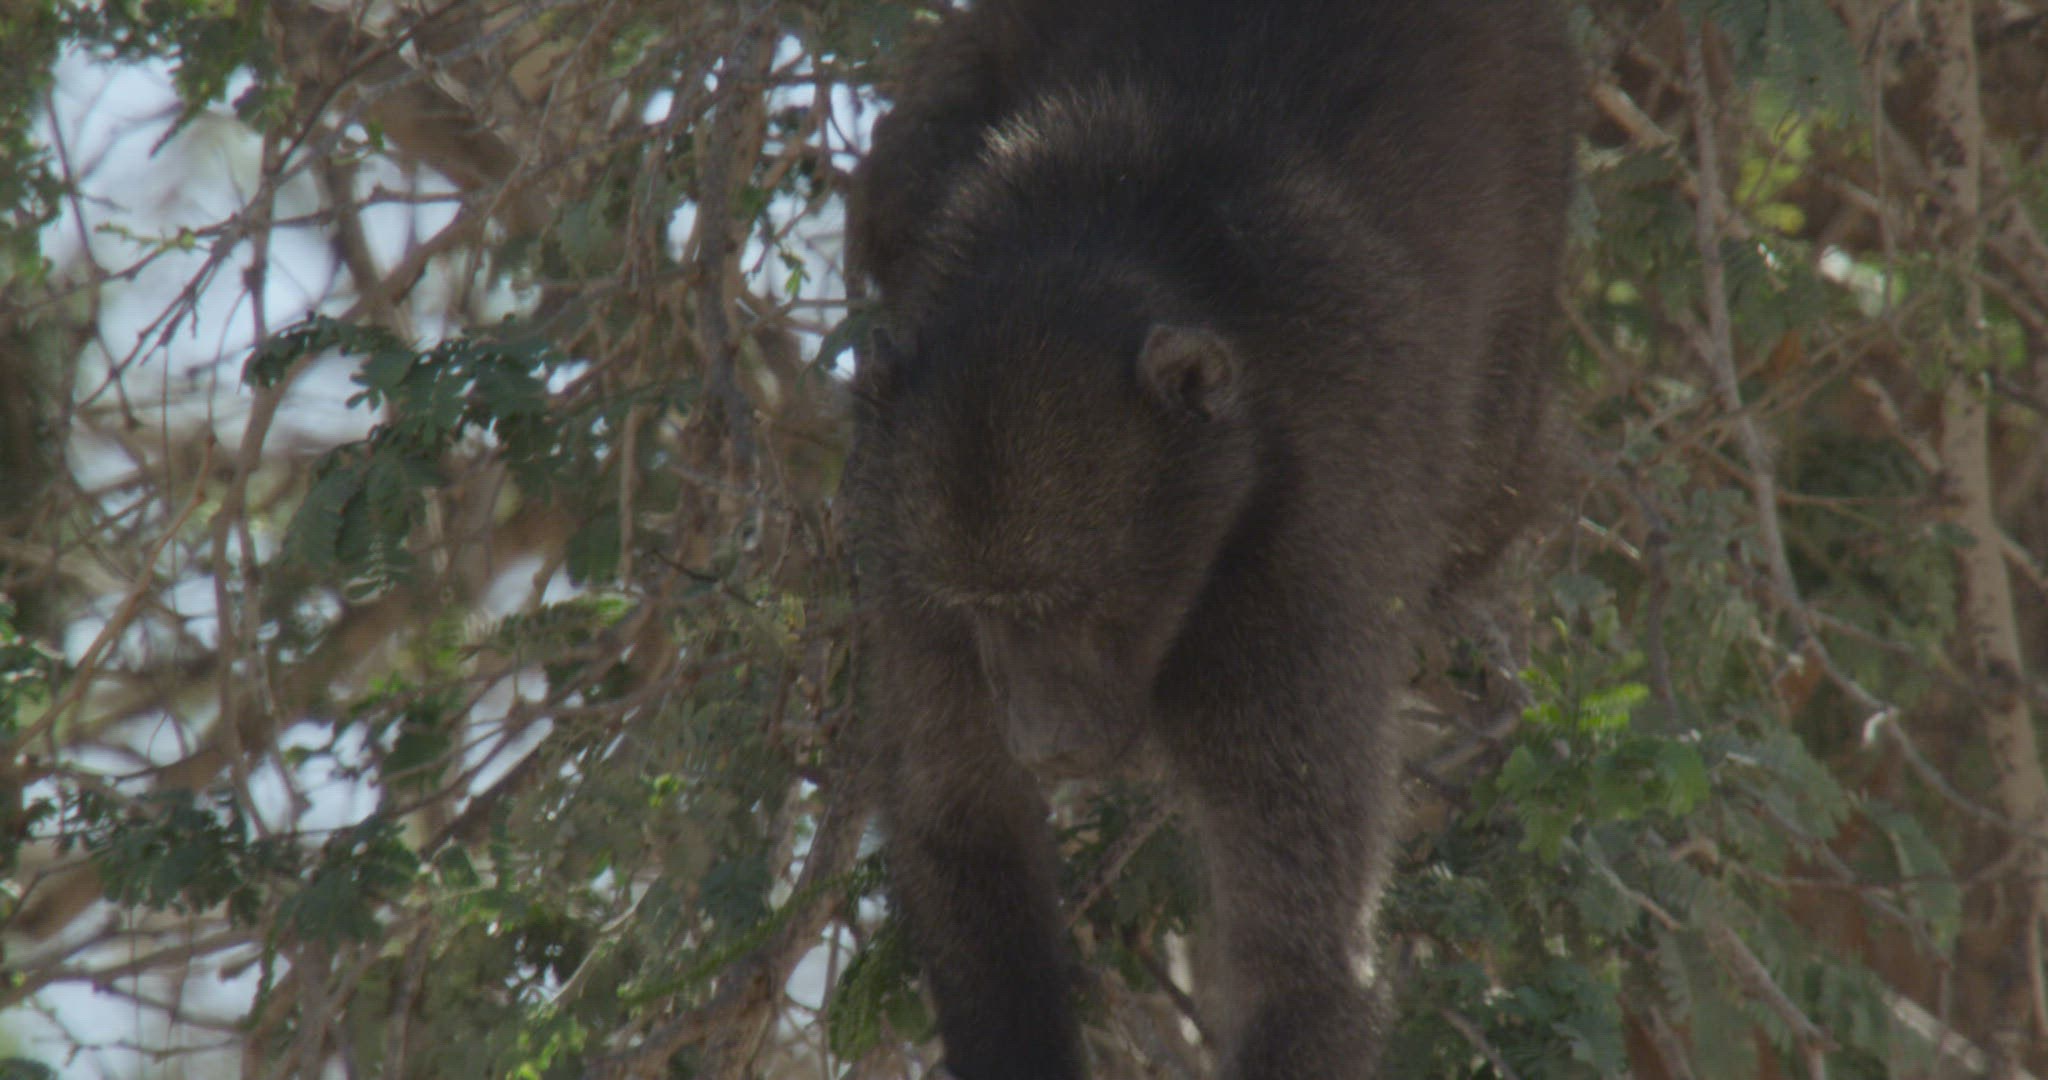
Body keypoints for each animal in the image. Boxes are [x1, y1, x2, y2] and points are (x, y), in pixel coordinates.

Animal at [844, 1, 1574, 1077]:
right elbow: (960, 819)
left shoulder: (1298, 574)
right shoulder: (902, 528)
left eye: (1082, 604)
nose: (1046, 742)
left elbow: (1297, 959)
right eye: (984, 609)